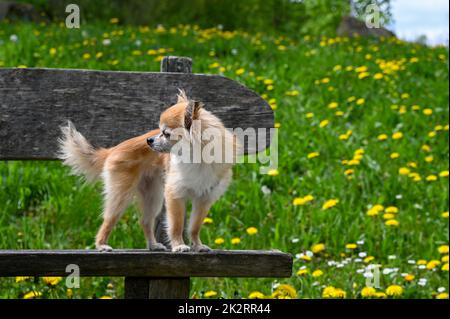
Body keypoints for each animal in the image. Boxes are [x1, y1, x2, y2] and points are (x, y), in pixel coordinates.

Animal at [58, 91, 237, 254]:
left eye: (166, 134)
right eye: (159, 130)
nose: (149, 140)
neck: (198, 158)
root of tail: (113, 150)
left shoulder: (204, 199)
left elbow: (194, 226)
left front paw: (197, 246)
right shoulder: (174, 194)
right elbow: (177, 224)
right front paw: (179, 245)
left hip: (153, 196)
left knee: (145, 221)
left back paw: (153, 245)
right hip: (121, 196)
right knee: (108, 220)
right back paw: (101, 245)